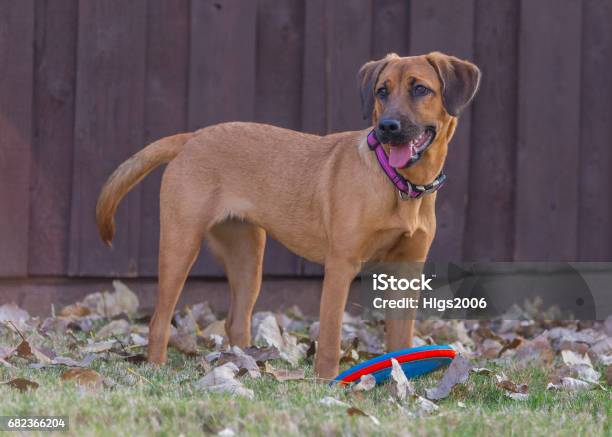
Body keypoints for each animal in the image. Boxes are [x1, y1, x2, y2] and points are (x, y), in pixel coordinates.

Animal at [95, 52, 480, 378]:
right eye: (381, 91)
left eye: (420, 89)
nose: (386, 127)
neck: (399, 185)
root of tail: (192, 138)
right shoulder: (341, 265)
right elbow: (330, 336)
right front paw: (326, 382)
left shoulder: (406, 271)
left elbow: (400, 338)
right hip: (180, 244)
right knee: (159, 320)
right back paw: (156, 368)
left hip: (248, 257)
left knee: (237, 321)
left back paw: (245, 363)